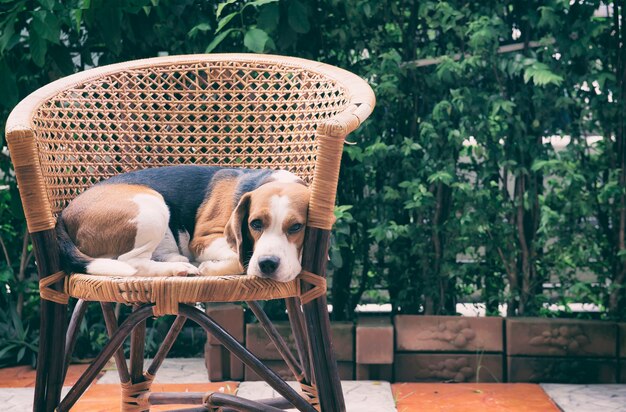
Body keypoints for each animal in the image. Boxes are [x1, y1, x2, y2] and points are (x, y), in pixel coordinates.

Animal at [54, 166, 308, 282]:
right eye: (255, 224)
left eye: (296, 227)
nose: (267, 264)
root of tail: (65, 214)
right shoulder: (204, 239)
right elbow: (240, 258)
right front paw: (210, 268)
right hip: (151, 205)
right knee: (131, 262)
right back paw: (179, 268)